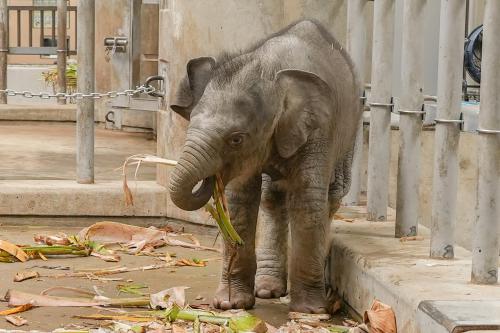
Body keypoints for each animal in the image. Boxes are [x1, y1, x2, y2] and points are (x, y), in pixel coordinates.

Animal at [170, 19, 362, 312]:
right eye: (190, 122)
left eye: (236, 139)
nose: (212, 178)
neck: (270, 70)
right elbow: (240, 199)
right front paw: (231, 305)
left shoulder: (318, 130)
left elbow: (307, 199)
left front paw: (309, 310)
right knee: (273, 197)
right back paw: (267, 289)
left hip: (350, 131)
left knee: (331, 196)